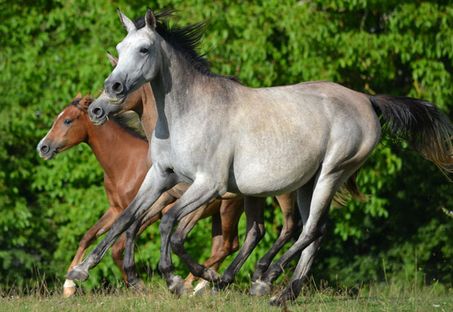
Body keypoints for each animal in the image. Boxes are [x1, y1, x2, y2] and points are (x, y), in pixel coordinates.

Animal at [37, 94, 244, 296]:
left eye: (67, 121)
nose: (43, 147)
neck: (126, 163)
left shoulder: (151, 211)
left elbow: (118, 247)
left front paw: (137, 285)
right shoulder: (116, 209)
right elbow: (88, 236)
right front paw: (69, 285)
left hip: (228, 210)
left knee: (228, 246)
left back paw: (191, 284)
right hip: (216, 215)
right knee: (224, 246)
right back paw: (201, 285)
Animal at [68, 9, 452, 304]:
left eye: (145, 49)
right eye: (121, 48)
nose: (112, 89)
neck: (189, 112)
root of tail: (367, 100)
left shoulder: (208, 185)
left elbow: (169, 226)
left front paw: (181, 281)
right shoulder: (162, 176)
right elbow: (126, 220)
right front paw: (80, 271)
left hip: (331, 173)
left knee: (310, 230)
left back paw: (267, 277)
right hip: (306, 183)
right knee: (310, 232)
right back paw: (282, 293)